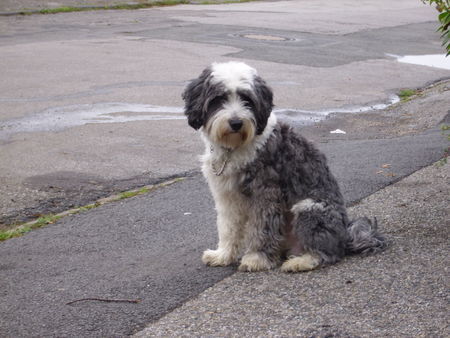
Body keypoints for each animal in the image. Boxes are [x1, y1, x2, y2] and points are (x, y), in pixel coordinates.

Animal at [181, 60, 384, 272]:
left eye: (247, 100)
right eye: (219, 98)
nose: (236, 122)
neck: (237, 146)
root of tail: (345, 236)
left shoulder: (266, 192)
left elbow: (262, 227)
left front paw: (256, 258)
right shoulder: (227, 196)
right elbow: (228, 228)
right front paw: (223, 255)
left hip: (309, 208)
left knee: (327, 254)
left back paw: (300, 261)